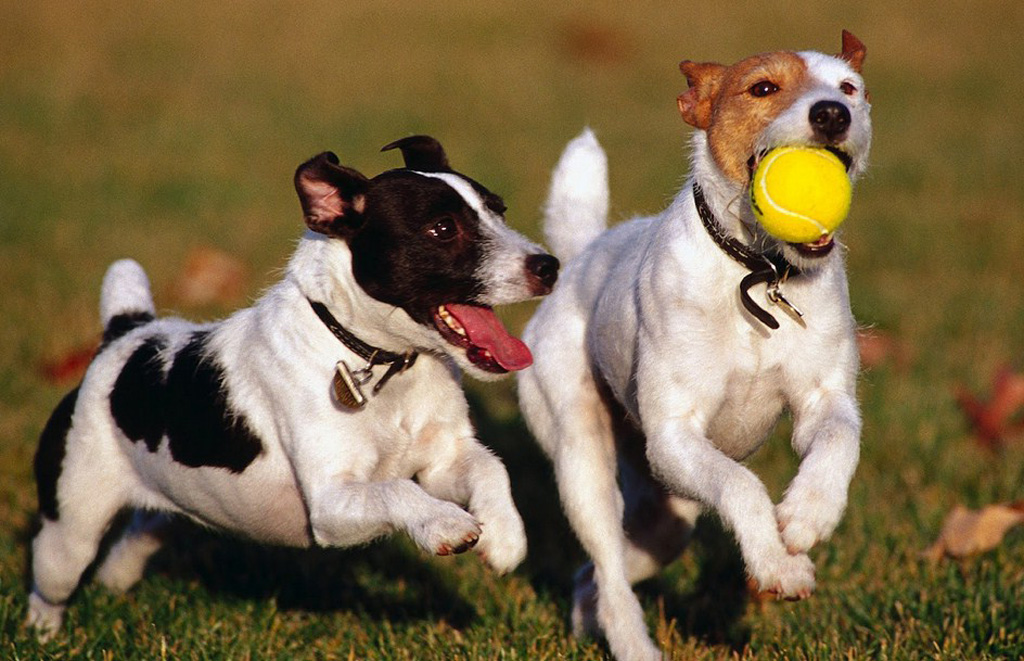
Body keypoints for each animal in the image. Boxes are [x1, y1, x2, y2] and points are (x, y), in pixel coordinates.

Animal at [28, 137, 561, 638]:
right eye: (443, 228)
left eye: (499, 210)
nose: (549, 266)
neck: (380, 361)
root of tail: (126, 333)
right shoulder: (332, 504)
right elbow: (396, 490)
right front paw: (446, 524)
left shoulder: (441, 462)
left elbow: (491, 468)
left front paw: (506, 537)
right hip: (72, 526)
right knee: (51, 579)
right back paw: (43, 632)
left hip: (173, 499)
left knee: (140, 530)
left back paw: (115, 580)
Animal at [520, 32, 872, 661]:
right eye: (763, 87)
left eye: (849, 88)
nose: (833, 113)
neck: (758, 271)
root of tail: (582, 254)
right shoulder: (675, 436)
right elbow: (742, 486)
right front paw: (777, 565)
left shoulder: (822, 399)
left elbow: (837, 442)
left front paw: (807, 517)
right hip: (583, 459)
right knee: (608, 570)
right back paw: (633, 645)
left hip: (667, 515)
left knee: (596, 576)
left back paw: (587, 621)